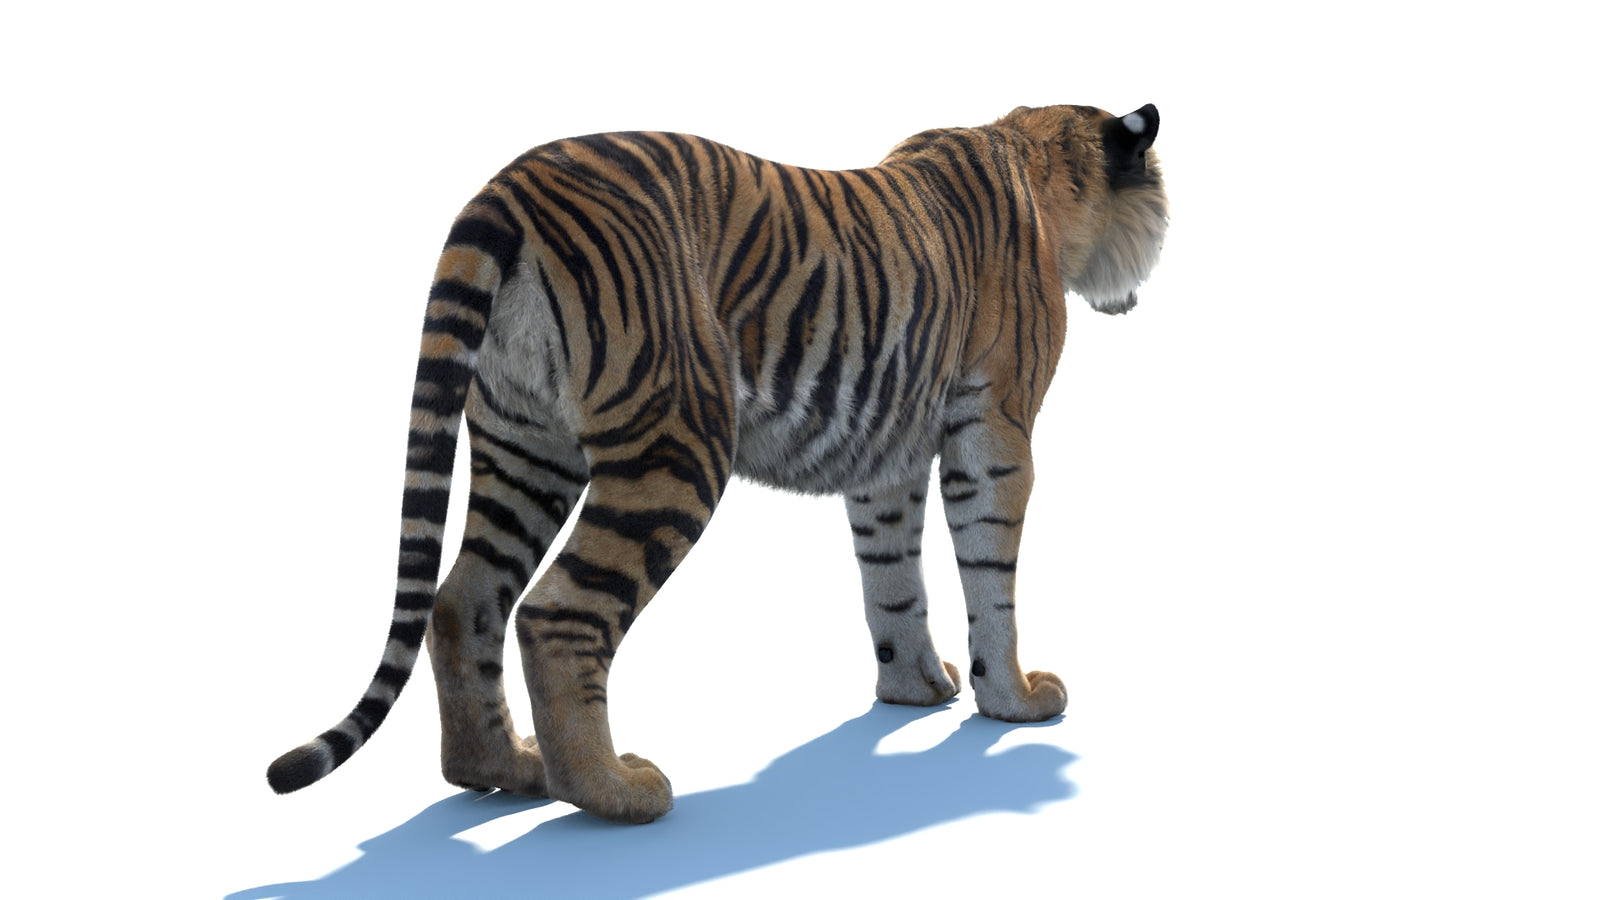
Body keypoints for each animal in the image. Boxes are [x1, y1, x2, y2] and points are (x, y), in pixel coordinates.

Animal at [267, 102, 1168, 824]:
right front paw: (1013, 701)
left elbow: (892, 578)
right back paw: (612, 792)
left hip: (526, 446)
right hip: (676, 442)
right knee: (556, 614)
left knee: (463, 599)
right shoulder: (996, 429)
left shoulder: (890, 451)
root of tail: (508, 188)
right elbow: (991, 576)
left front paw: (914, 689)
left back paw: (502, 769)